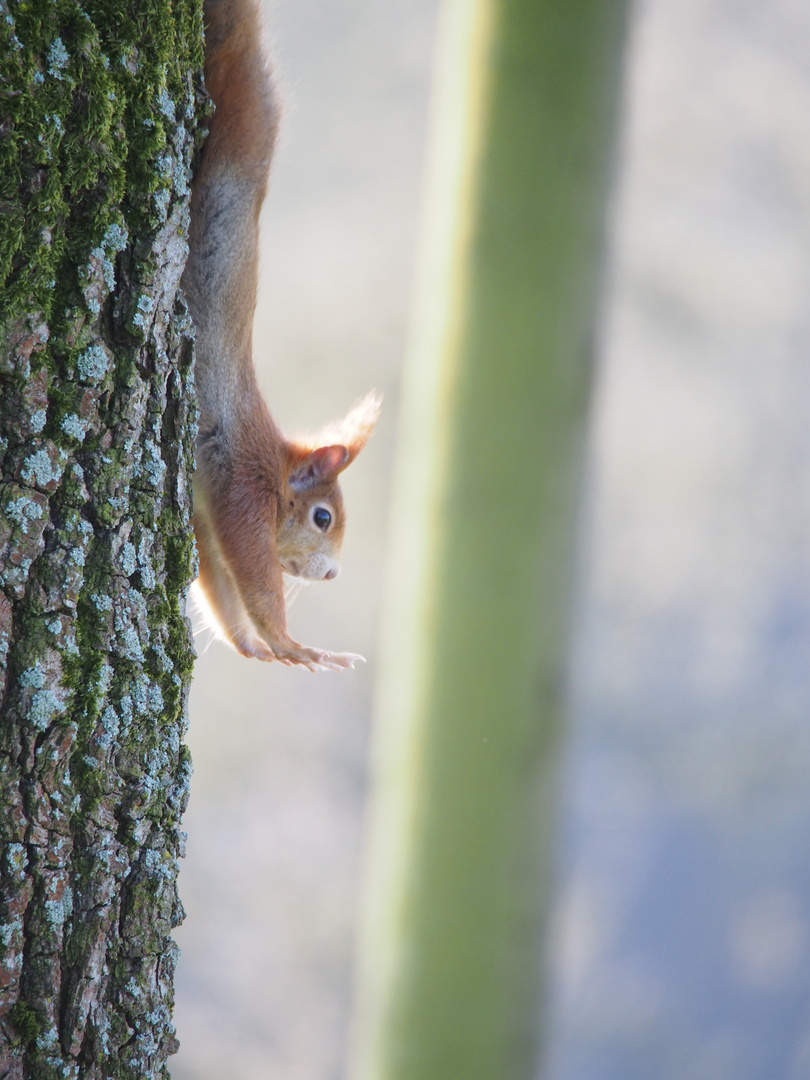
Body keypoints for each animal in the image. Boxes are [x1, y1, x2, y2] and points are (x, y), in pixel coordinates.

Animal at [182, 0, 380, 669]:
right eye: (323, 518)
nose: (333, 576)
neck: (275, 467)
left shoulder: (205, 514)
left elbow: (218, 586)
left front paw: (257, 647)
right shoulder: (242, 486)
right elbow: (253, 576)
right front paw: (294, 644)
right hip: (235, 117)